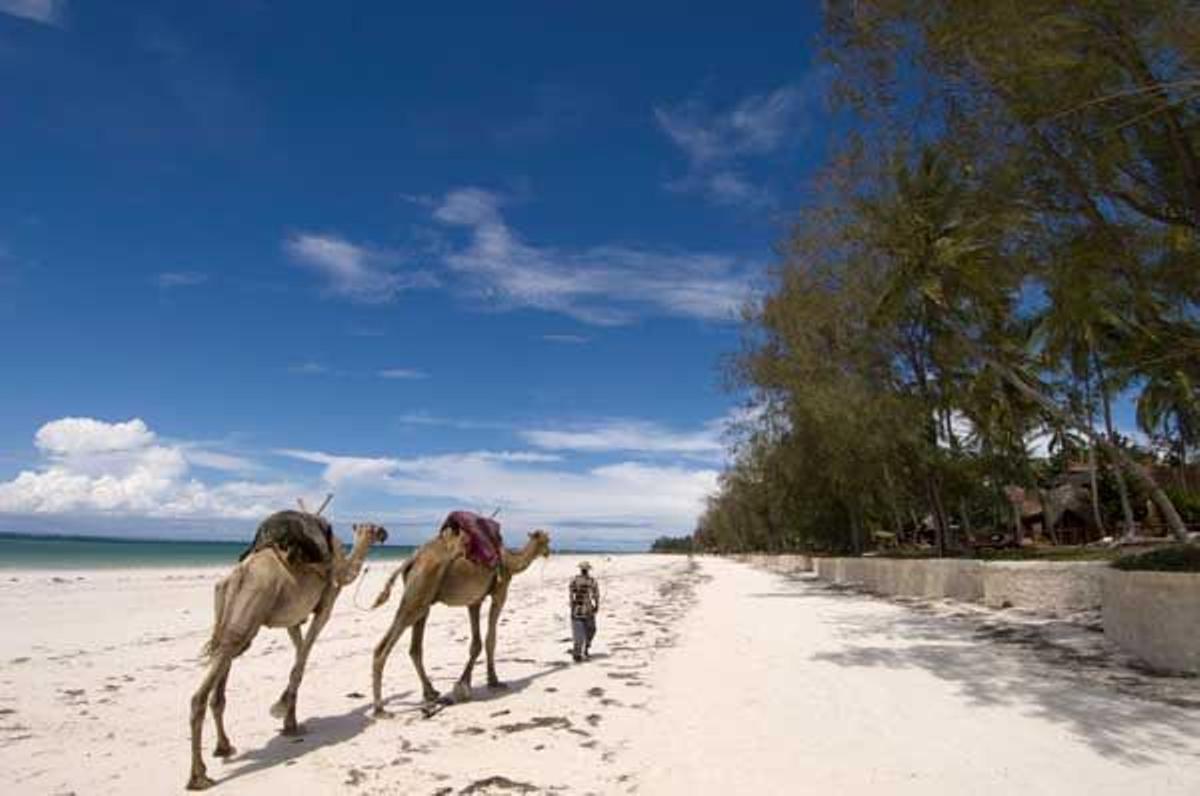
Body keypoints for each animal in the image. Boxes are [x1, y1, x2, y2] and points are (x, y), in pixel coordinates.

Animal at [184, 516, 388, 792]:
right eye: (373, 528)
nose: (385, 533)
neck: (340, 565)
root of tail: (236, 577)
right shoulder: (325, 605)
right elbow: (302, 659)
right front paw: (285, 716)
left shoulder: (293, 620)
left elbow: (298, 657)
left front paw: (287, 717)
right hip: (248, 616)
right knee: (200, 695)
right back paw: (199, 776)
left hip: (228, 620)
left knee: (222, 669)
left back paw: (224, 747)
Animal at [369, 528, 552, 715]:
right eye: (546, 540)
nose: (549, 552)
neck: (510, 560)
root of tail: (412, 559)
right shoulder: (500, 593)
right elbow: (490, 639)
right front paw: (492, 681)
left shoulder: (474, 601)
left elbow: (476, 644)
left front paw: (466, 682)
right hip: (418, 595)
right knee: (384, 647)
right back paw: (380, 709)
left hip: (422, 599)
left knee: (414, 648)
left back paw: (430, 692)